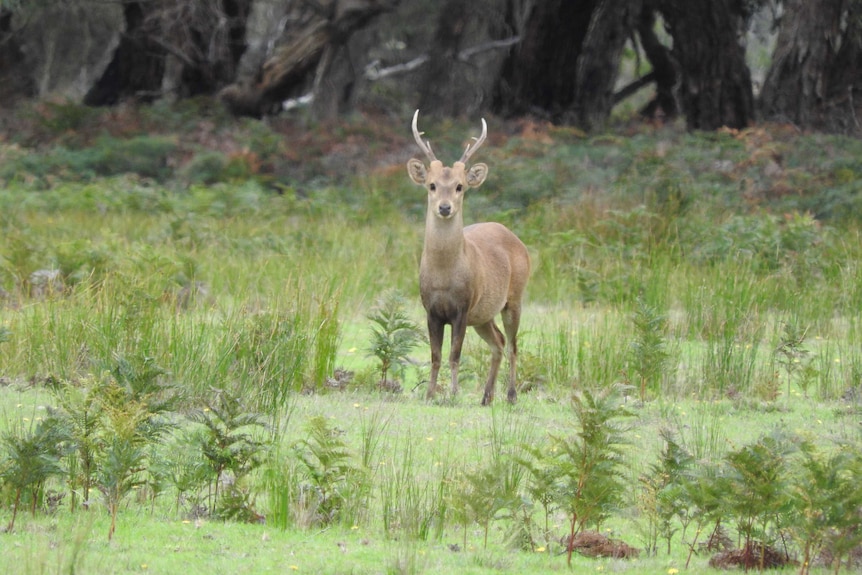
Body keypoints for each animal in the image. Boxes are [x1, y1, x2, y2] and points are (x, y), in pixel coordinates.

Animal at [406, 109, 532, 404]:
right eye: (431, 185)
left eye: (460, 186)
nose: (444, 207)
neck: (444, 277)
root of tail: (517, 240)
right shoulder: (430, 309)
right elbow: (435, 356)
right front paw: (429, 394)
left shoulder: (463, 307)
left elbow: (454, 355)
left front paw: (453, 394)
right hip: (484, 314)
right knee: (498, 342)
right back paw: (486, 396)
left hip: (514, 298)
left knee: (513, 345)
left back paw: (511, 395)